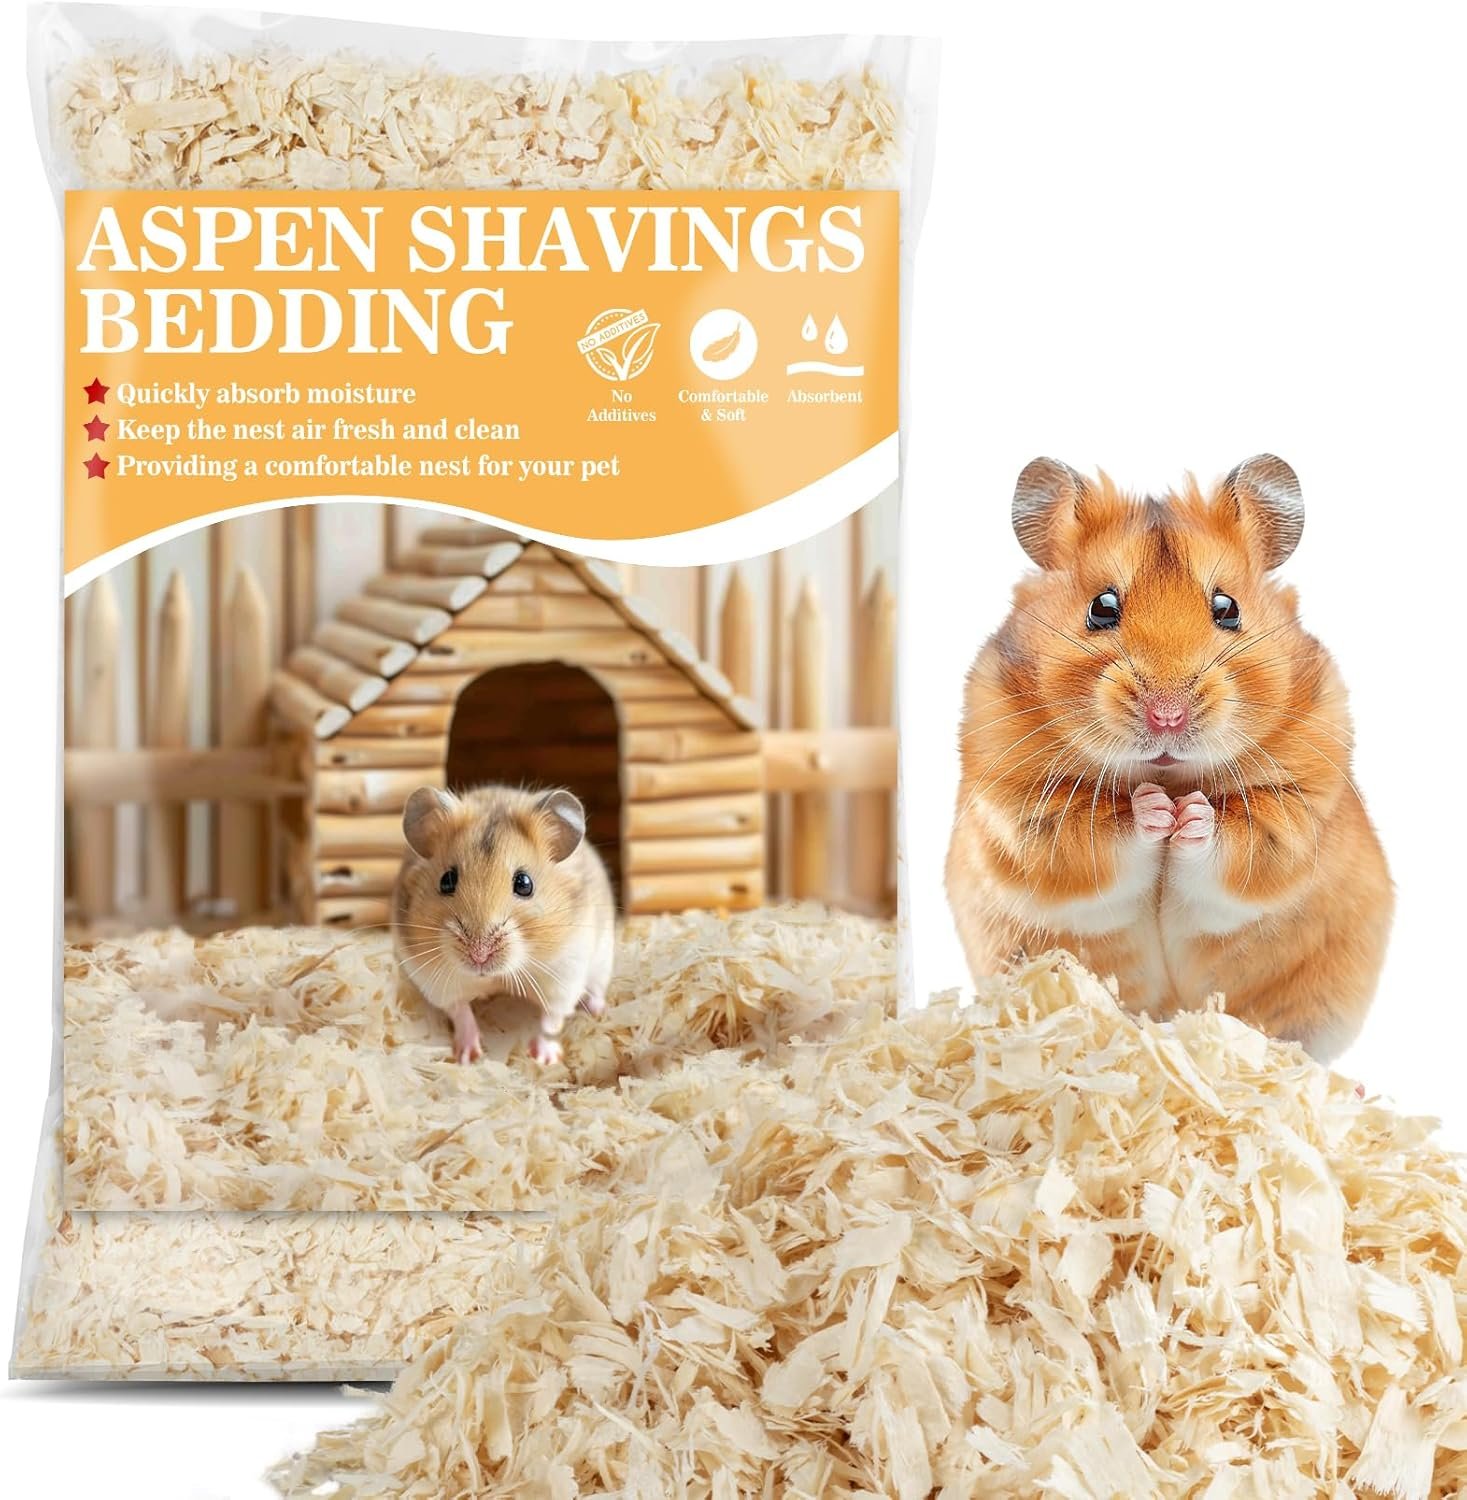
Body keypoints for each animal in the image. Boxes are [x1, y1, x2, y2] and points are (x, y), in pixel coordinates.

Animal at [393, 783, 615, 1065]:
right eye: (446, 881)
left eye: (524, 883)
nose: (479, 955)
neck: (498, 976)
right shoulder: (436, 981)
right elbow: (461, 1013)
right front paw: (467, 1056)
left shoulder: (564, 975)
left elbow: (551, 1020)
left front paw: (544, 1059)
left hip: (603, 958)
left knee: (596, 988)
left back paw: (597, 1009)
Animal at [945, 454, 1392, 1063]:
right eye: (1102, 608)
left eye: (1226, 608)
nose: (1167, 716)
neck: (1170, 772)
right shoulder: (1026, 813)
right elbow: (1098, 832)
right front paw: (1157, 811)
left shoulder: (1295, 814)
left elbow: (1239, 840)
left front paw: (1191, 816)